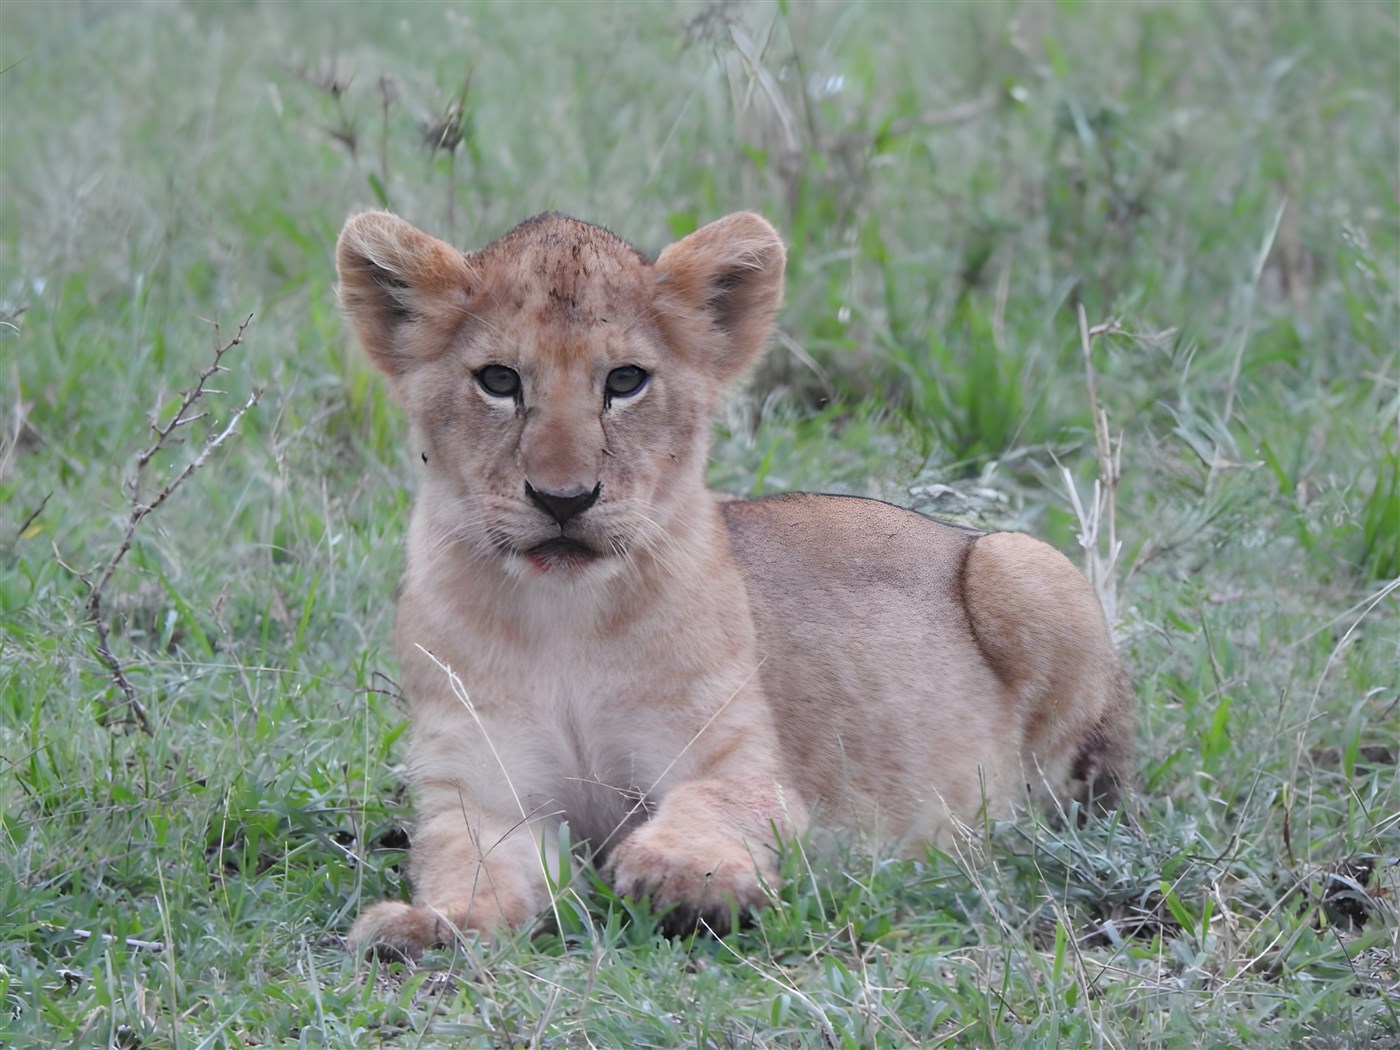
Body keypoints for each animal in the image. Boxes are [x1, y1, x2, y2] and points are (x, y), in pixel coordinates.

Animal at [335, 209, 1134, 958]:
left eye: (625, 380)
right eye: (499, 380)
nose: (564, 500)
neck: (566, 616)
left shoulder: (744, 763)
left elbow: (712, 807)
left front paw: (686, 882)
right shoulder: (478, 793)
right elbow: (470, 866)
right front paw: (429, 925)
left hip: (1022, 565)